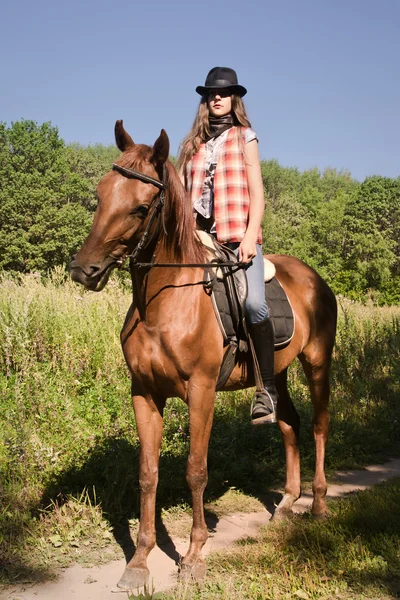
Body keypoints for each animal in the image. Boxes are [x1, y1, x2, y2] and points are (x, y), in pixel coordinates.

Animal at [69, 119, 338, 588]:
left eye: (141, 208)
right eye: (101, 194)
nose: (84, 270)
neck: (165, 303)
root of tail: (315, 279)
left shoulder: (201, 392)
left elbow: (196, 470)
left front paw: (193, 557)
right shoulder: (144, 394)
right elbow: (148, 475)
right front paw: (139, 561)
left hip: (317, 362)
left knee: (320, 426)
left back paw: (318, 505)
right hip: (277, 374)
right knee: (289, 423)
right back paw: (287, 503)